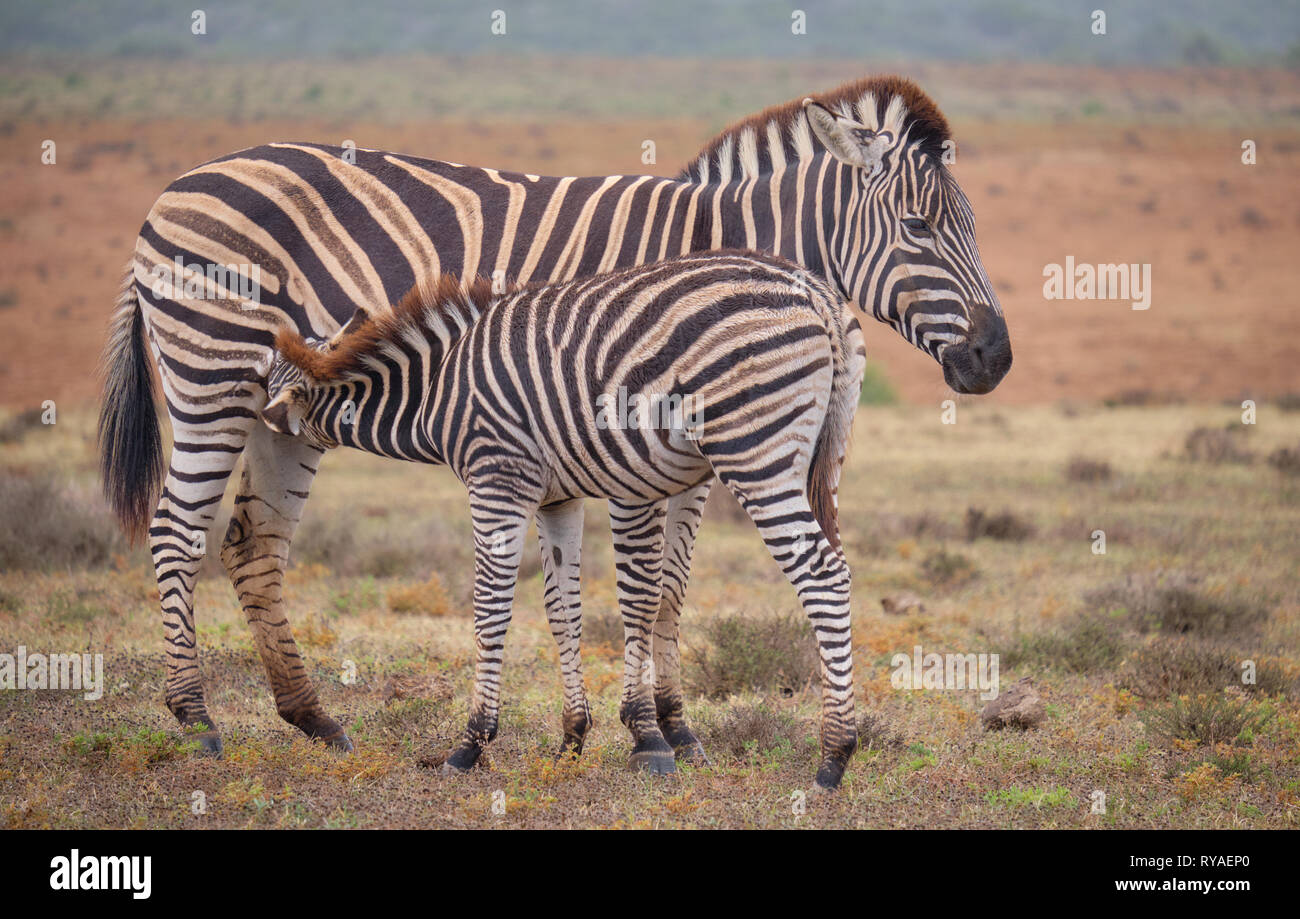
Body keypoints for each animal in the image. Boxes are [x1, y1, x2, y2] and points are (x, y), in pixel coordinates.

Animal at [261, 251, 868, 788]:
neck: (437, 388)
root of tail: (812, 290)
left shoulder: (497, 479)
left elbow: (491, 607)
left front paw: (471, 744)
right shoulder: (558, 498)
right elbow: (563, 608)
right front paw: (573, 738)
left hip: (755, 450)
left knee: (822, 576)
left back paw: (834, 757)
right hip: (824, 459)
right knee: (837, 567)